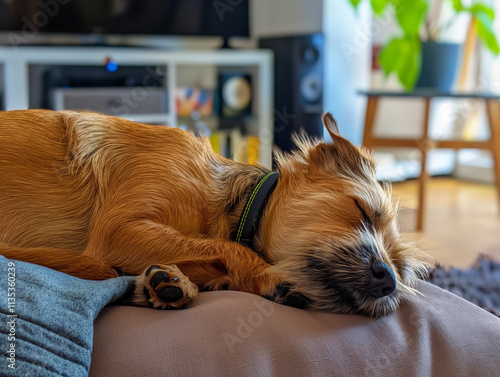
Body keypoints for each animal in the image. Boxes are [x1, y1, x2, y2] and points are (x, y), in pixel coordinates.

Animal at [0, 109, 426, 318]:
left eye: (401, 270)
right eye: (362, 210)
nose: (388, 281)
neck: (228, 201)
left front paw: (163, 282)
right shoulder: (117, 230)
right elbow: (231, 249)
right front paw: (266, 274)